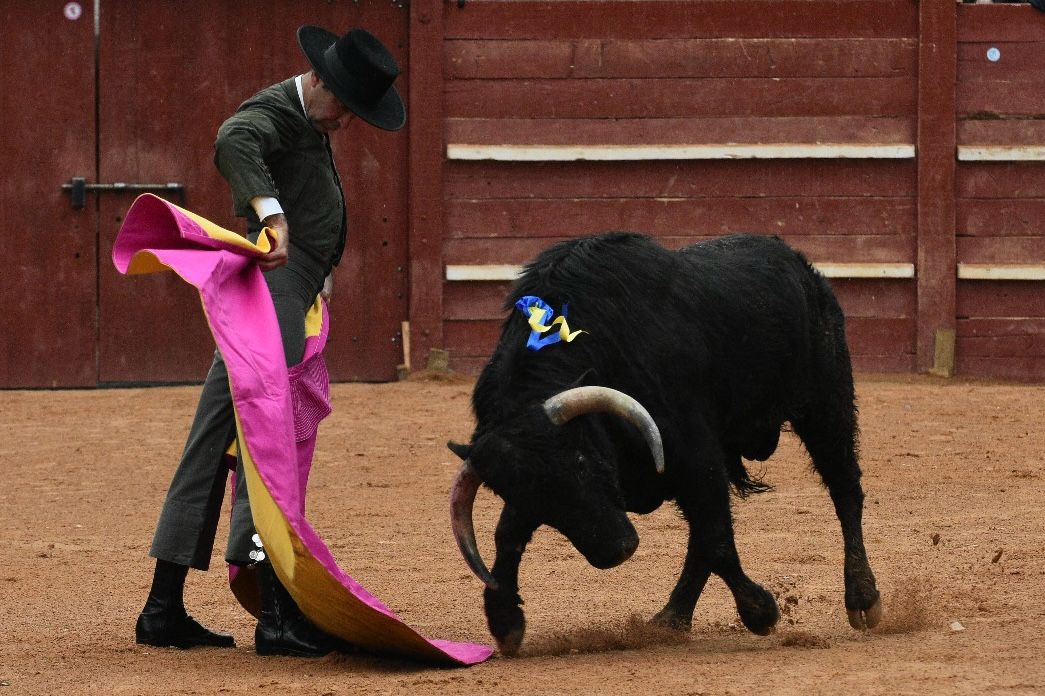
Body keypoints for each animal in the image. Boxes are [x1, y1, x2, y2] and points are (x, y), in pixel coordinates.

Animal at [449, 232, 881, 652]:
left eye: (581, 462)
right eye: (531, 497)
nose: (618, 550)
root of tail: (801, 266)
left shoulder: (695, 454)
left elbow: (717, 540)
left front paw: (762, 613)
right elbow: (507, 535)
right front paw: (505, 622)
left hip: (825, 403)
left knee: (845, 490)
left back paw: (863, 599)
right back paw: (672, 617)